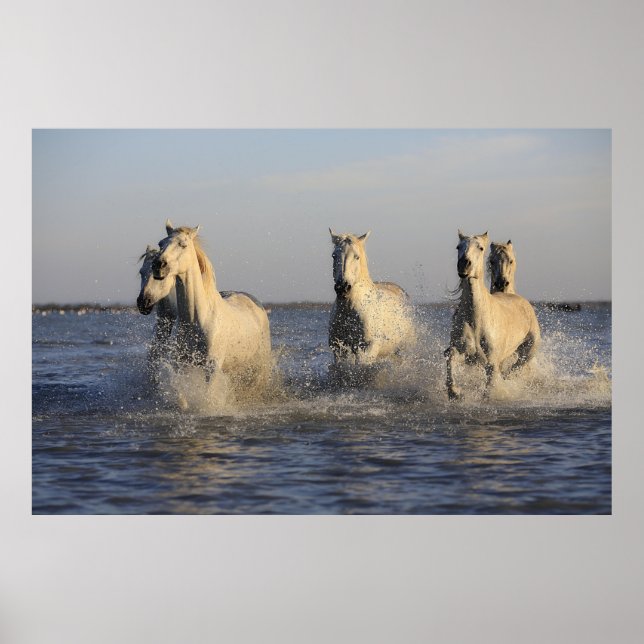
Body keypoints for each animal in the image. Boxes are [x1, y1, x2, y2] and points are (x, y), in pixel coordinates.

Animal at [145, 220, 271, 389]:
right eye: (161, 243)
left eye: (183, 244)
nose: (158, 265)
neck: (197, 319)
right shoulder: (183, 364)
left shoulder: (212, 368)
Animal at [328, 229, 415, 369]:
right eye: (334, 256)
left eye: (356, 257)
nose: (343, 287)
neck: (350, 310)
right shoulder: (340, 350)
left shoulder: (366, 349)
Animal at [444, 230, 540, 400]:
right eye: (458, 247)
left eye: (481, 248)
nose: (464, 265)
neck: (476, 319)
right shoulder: (464, 352)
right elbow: (451, 358)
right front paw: (455, 391)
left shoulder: (491, 362)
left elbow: (490, 386)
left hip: (528, 352)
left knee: (515, 368)